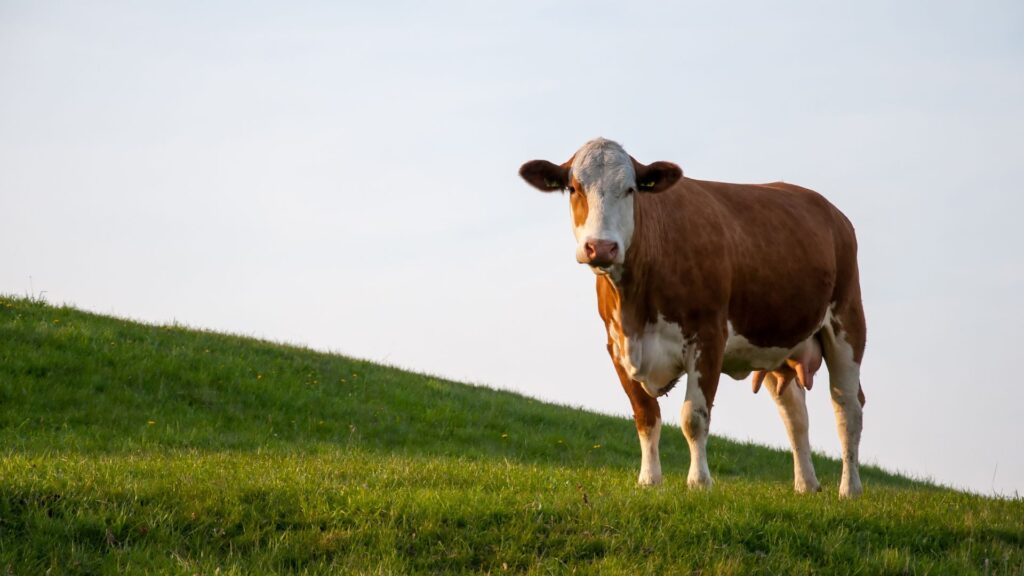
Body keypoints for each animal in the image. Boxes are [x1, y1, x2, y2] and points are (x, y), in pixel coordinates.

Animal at [519, 138, 867, 498]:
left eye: (630, 189)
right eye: (574, 188)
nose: (601, 247)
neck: (635, 308)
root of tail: (831, 211)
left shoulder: (708, 337)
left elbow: (693, 417)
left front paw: (699, 481)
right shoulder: (616, 346)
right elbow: (645, 415)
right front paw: (649, 480)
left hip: (848, 321)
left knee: (848, 407)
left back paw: (850, 489)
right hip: (775, 341)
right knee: (795, 414)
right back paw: (806, 485)